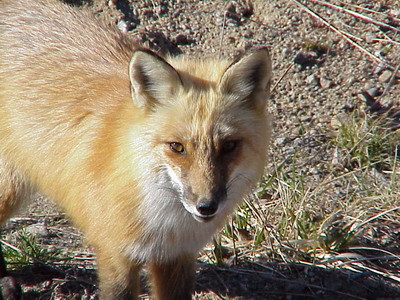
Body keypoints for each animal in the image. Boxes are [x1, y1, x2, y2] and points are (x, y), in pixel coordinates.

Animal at [0, 0, 272, 298]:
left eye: (229, 146)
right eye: (177, 147)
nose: (206, 206)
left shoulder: (177, 257)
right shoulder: (115, 255)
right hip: (8, 190)